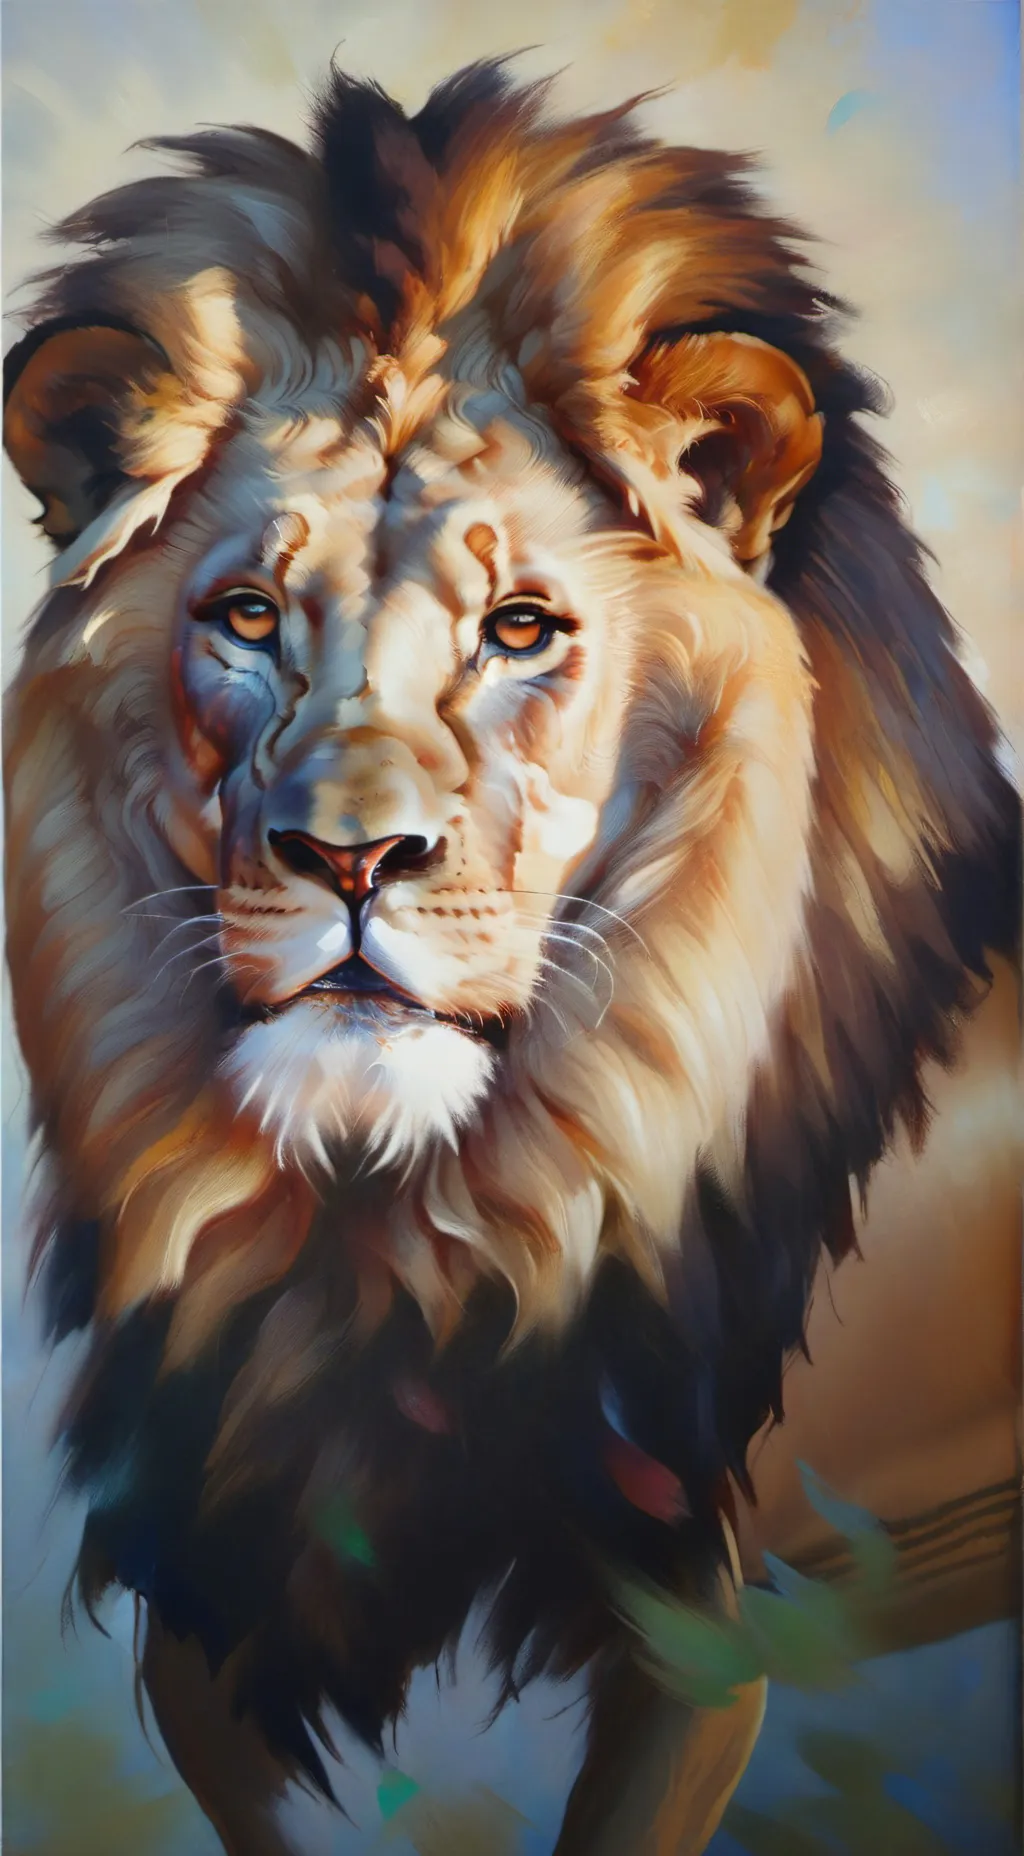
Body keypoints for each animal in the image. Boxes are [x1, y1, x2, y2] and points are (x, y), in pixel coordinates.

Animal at [3, 58, 1018, 1856]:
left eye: (521, 629)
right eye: (247, 617)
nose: (350, 858)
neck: (381, 1238)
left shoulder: (694, 1624)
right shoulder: (210, 1587)